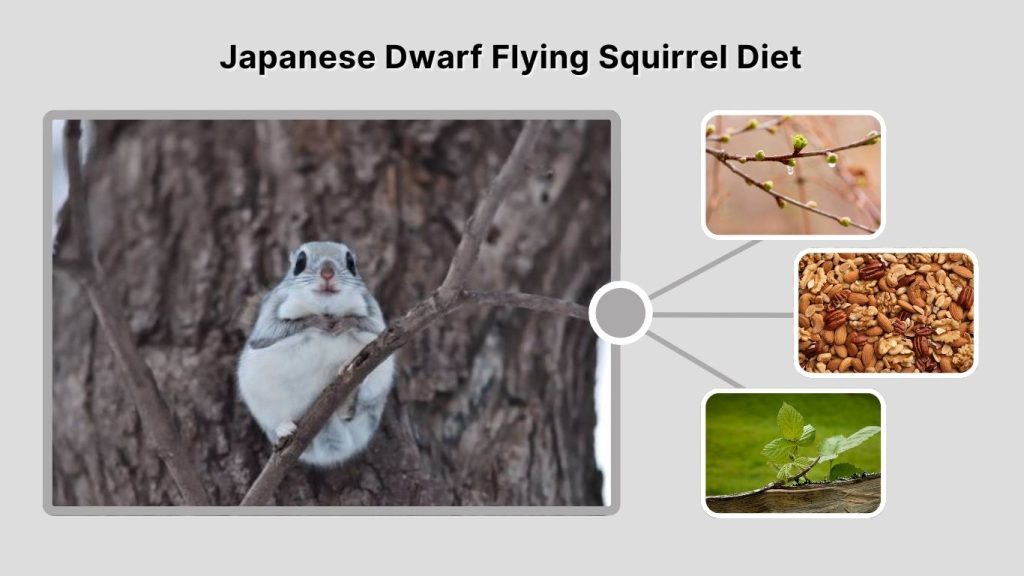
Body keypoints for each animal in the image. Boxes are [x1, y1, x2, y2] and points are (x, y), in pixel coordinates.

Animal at [237, 241, 395, 467]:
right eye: (300, 263)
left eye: (351, 263)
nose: (327, 273)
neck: (325, 308)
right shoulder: (267, 320)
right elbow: (271, 333)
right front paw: (316, 321)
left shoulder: (374, 315)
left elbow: (371, 326)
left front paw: (344, 322)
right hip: (263, 400)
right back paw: (284, 427)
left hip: (376, 386)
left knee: (352, 410)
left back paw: (348, 382)